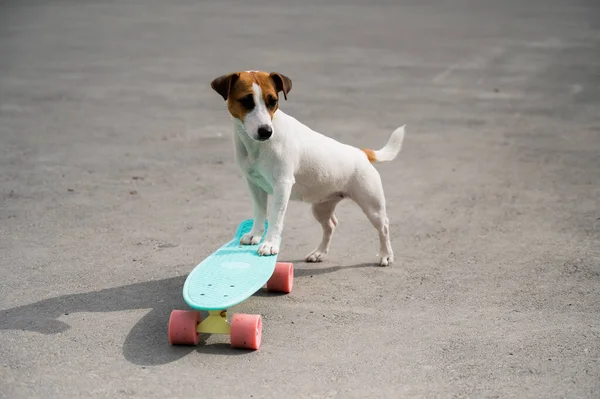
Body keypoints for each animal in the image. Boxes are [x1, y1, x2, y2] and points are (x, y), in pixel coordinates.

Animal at [209, 71, 406, 266]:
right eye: (246, 100)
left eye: (273, 101)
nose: (266, 131)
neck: (257, 146)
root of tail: (362, 153)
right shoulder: (254, 184)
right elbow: (260, 212)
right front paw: (255, 235)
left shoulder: (282, 185)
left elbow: (275, 217)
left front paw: (270, 244)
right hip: (321, 207)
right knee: (330, 225)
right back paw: (319, 253)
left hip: (372, 206)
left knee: (384, 226)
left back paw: (385, 255)